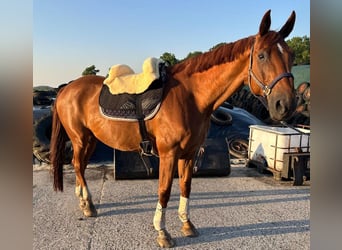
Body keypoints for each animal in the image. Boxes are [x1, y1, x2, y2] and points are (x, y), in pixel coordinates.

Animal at [50, 10, 296, 248]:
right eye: (262, 55)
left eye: (291, 55)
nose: (285, 105)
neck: (190, 96)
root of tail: (66, 89)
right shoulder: (168, 154)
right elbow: (165, 191)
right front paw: (162, 232)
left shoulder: (189, 153)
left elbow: (185, 187)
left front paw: (187, 224)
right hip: (80, 139)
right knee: (78, 166)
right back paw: (88, 205)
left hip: (91, 139)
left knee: (80, 166)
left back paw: (84, 201)